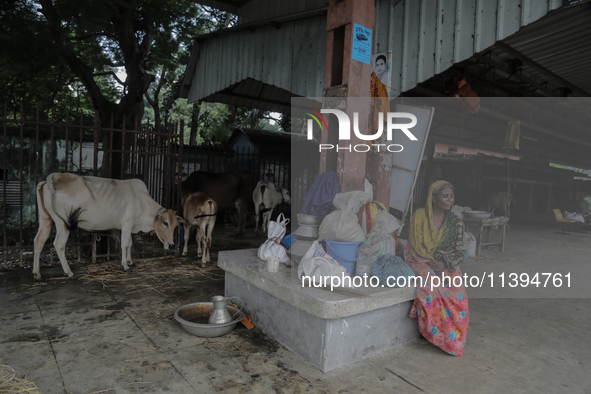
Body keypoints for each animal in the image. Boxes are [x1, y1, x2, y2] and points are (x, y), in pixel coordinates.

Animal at [33, 172, 182, 280]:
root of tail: (49, 181)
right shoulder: (127, 222)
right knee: (59, 244)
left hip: (46, 219)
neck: (142, 201)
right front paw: (125, 265)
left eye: (176, 226)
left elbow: (130, 243)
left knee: (39, 241)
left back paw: (37, 273)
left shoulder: (129, 225)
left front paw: (130, 261)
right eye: (165, 223)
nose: (172, 245)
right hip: (62, 223)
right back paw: (69, 273)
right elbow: (125, 244)